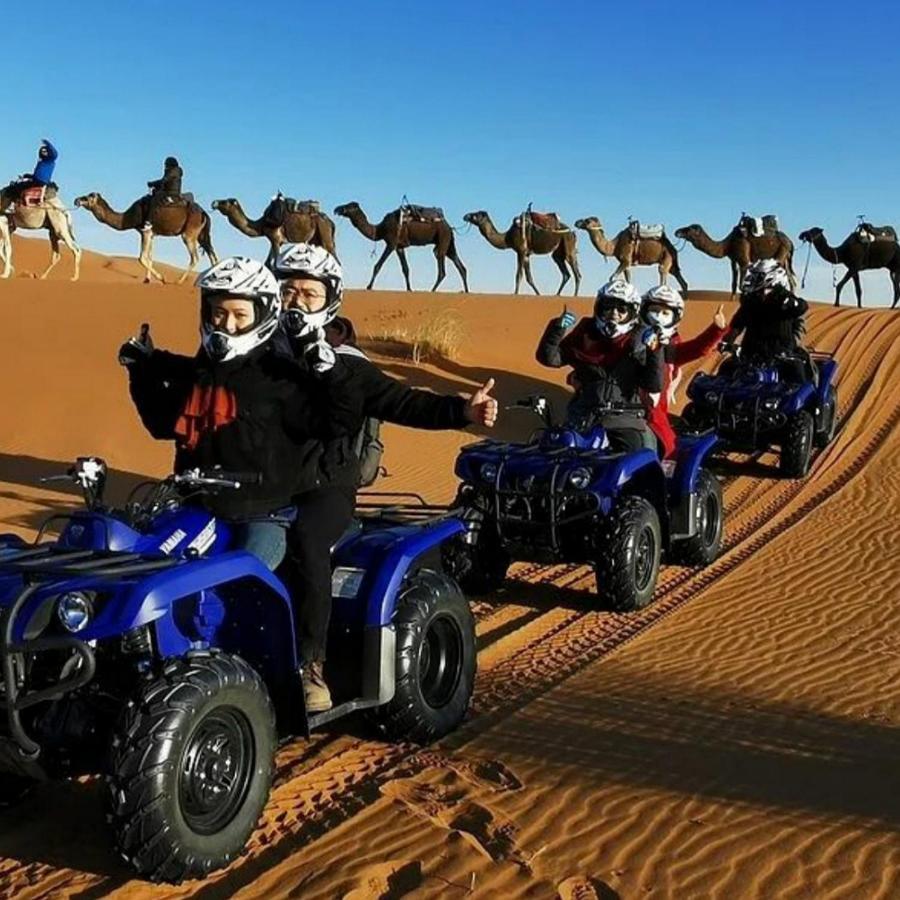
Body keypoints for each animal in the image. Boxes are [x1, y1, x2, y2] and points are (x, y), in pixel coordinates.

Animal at [74, 192, 218, 284]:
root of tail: (203, 213)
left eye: (87, 197)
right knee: (212, 254)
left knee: (195, 257)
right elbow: (150, 257)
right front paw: (147, 280)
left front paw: (162, 278)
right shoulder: (151, 234)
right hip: (201, 234)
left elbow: (142, 257)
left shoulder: (146, 231)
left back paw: (179, 281)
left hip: (189, 233)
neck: (128, 217)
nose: (76, 200)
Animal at [334, 201, 468, 292]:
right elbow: (405, 269)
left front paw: (369, 286)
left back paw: (432, 290)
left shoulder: (391, 243)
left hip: (442, 238)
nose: (336, 209)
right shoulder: (399, 247)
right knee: (460, 266)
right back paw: (466, 291)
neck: (379, 229)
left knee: (441, 268)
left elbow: (378, 265)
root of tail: (449, 227)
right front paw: (409, 289)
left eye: (349, 206)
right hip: (448, 243)